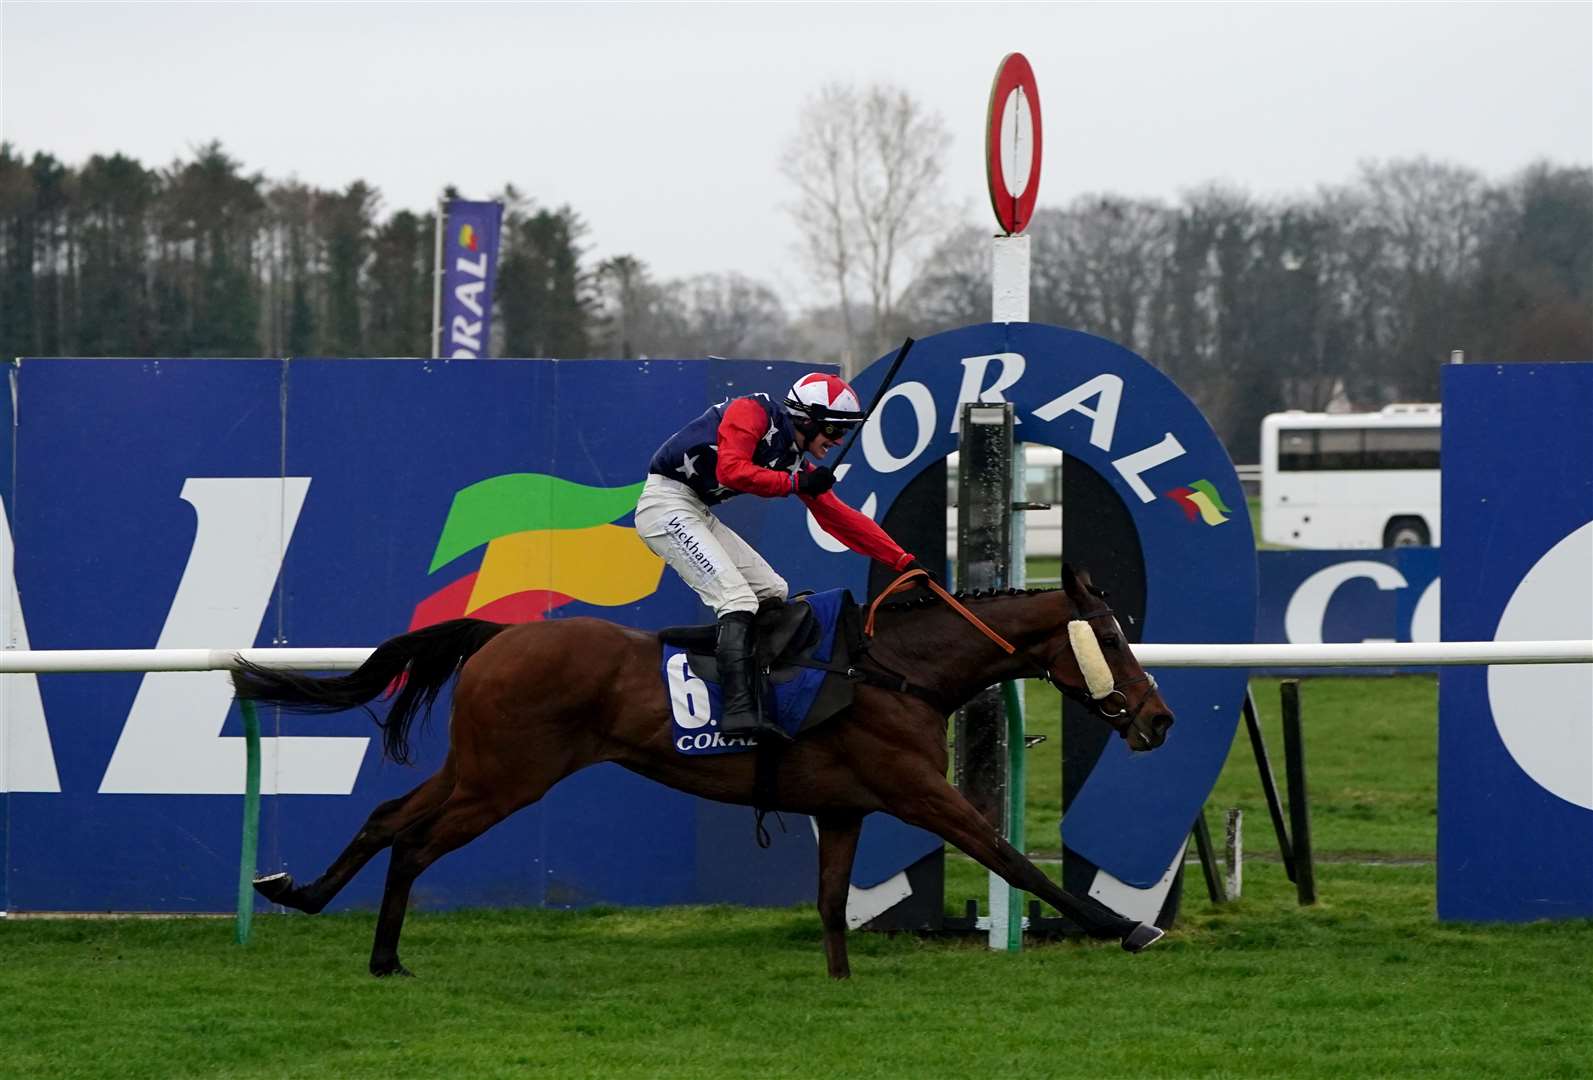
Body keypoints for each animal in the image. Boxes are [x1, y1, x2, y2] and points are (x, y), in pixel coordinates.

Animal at [232, 567, 1172, 981]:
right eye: (1111, 637)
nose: (1157, 717)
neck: (892, 668)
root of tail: (499, 637)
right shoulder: (915, 790)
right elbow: (1013, 860)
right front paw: (1127, 927)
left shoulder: (845, 807)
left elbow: (830, 902)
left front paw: (839, 984)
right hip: (507, 779)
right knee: (417, 844)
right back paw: (382, 953)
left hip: (479, 765)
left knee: (390, 815)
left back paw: (302, 895)